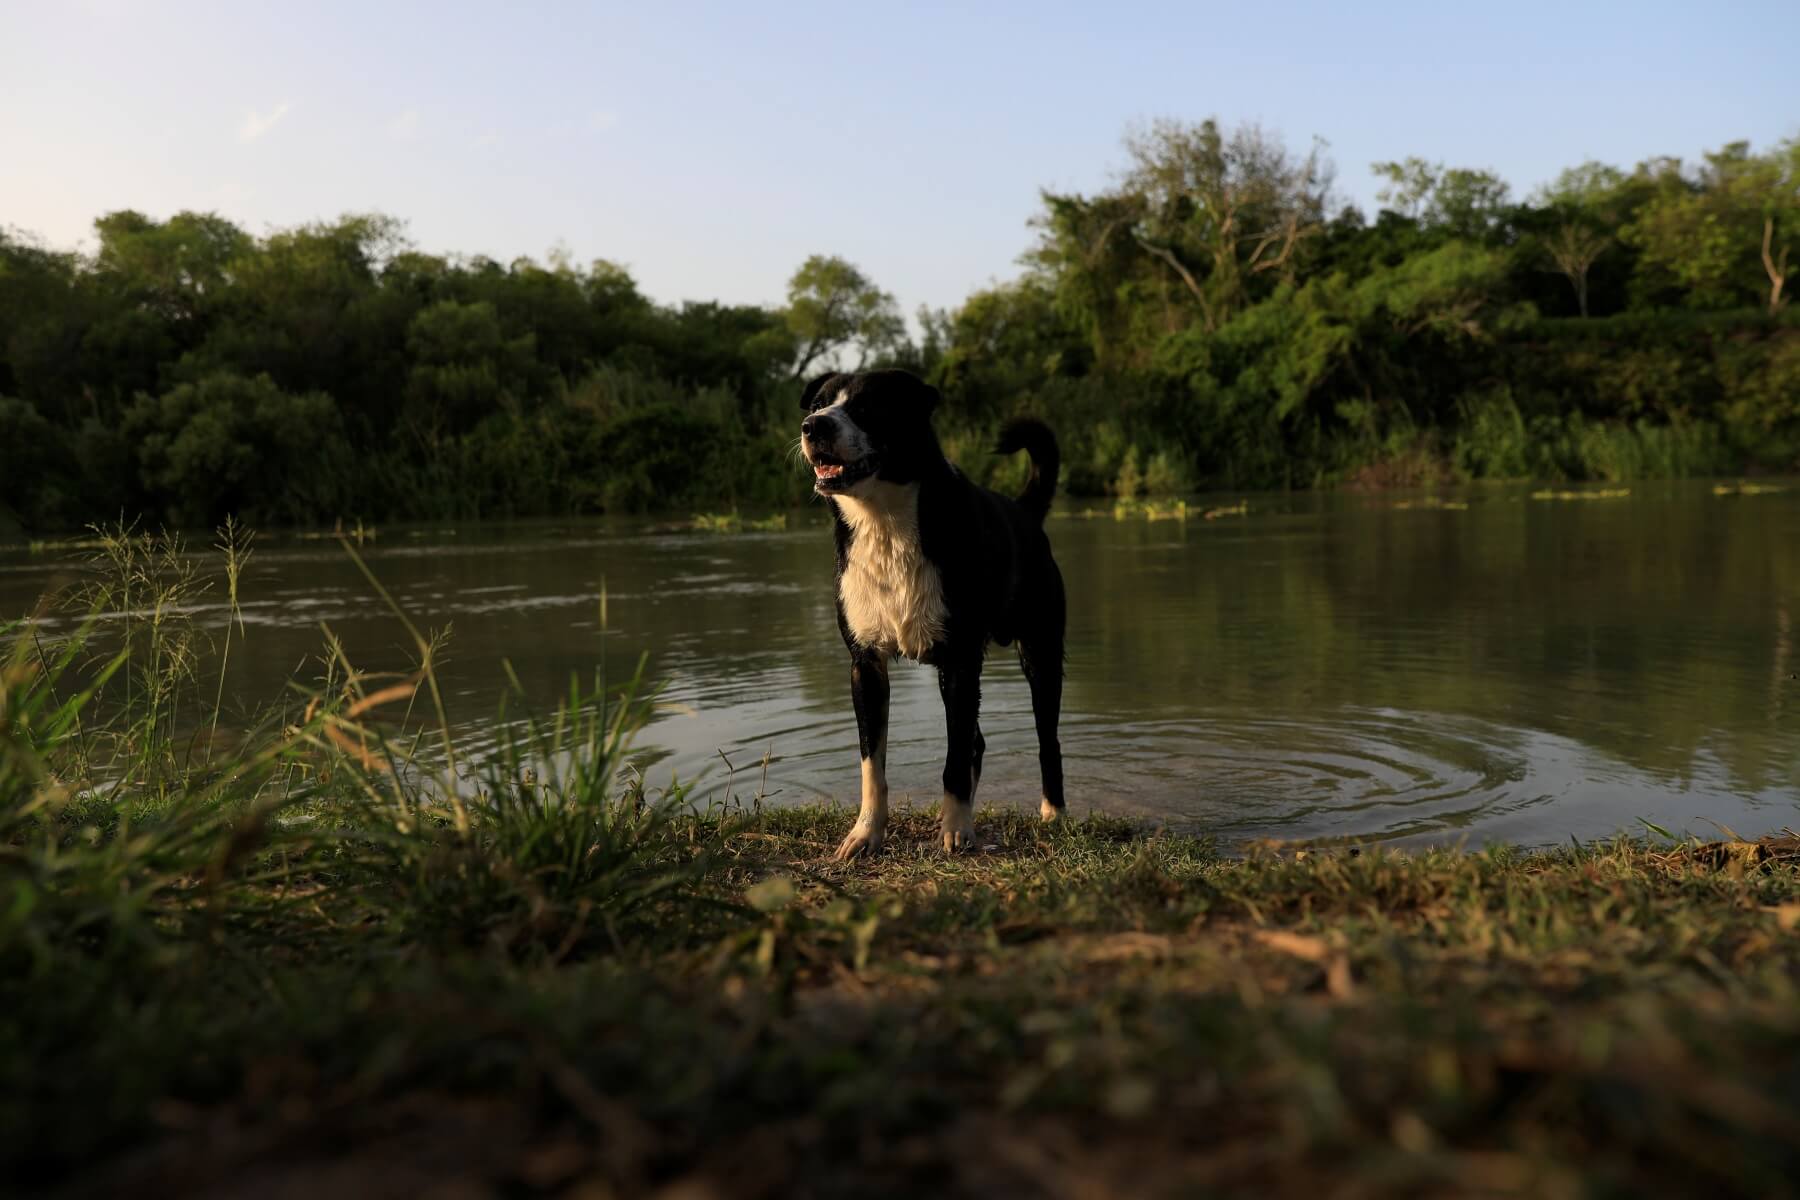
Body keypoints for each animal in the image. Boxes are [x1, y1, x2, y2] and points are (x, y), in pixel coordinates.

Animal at [795, 370, 1058, 859]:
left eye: (867, 406)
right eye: (817, 405)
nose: (814, 426)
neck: (883, 523)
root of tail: (1024, 510)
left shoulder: (960, 662)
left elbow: (953, 759)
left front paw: (956, 831)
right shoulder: (865, 665)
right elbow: (872, 763)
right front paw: (866, 833)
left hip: (1040, 650)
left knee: (1046, 740)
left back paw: (1055, 814)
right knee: (977, 742)